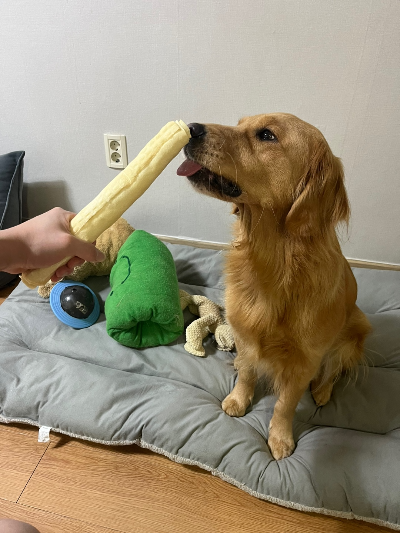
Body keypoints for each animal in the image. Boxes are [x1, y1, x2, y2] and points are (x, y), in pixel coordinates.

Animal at [178, 114, 372, 460]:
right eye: (240, 122)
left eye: (267, 135)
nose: (190, 129)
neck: (271, 259)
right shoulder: (245, 333)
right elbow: (247, 371)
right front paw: (239, 399)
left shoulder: (304, 362)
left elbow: (286, 404)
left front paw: (280, 438)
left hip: (357, 330)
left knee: (334, 370)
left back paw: (322, 391)